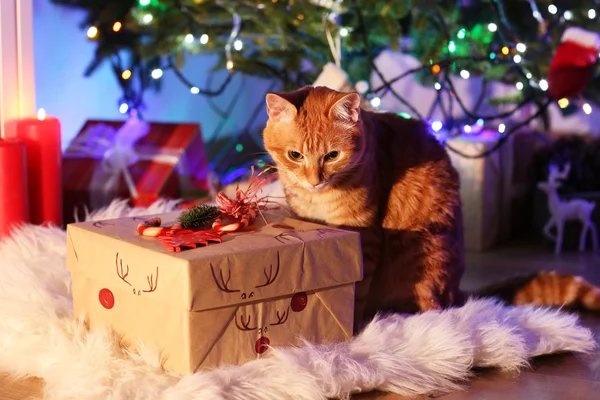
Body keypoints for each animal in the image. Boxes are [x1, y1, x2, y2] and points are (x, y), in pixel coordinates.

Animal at [264, 86, 600, 332]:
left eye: (332, 155)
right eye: (295, 155)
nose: (314, 180)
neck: (318, 199)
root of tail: (459, 290)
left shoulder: (365, 238)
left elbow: (355, 291)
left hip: (425, 251)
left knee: (436, 310)